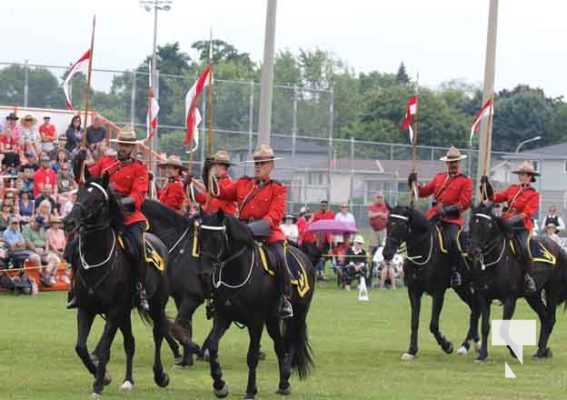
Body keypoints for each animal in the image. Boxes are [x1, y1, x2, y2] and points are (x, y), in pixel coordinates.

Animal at [62, 176, 182, 396]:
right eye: (79, 193)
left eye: (97, 199)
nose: (69, 222)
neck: (97, 260)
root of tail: (159, 243)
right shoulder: (86, 309)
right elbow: (81, 347)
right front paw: (102, 376)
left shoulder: (114, 310)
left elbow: (104, 348)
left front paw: (98, 384)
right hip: (126, 312)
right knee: (130, 343)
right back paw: (128, 381)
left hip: (156, 305)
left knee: (158, 333)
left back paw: (160, 376)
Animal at [143, 200, 205, 366]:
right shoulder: (180, 297)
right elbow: (183, 325)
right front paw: (187, 357)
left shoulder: (192, 297)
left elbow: (178, 323)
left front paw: (187, 353)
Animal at [199, 211, 316, 398]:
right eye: (200, 237)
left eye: (216, 238)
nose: (204, 274)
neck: (238, 271)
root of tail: (305, 257)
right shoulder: (223, 316)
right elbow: (213, 346)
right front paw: (219, 384)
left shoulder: (256, 322)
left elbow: (252, 356)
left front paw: (251, 390)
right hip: (273, 320)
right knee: (279, 346)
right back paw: (283, 382)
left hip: (298, 315)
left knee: (291, 341)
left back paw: (285, 375)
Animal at [382, 206, 480, 360]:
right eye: (387, 223)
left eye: (401, 225)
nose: (387, 253)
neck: (423, 251)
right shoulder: (413, 291)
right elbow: (414, 321)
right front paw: (411, 350)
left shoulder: (438, 292)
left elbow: (433, 324)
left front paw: (447, 345)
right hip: (462, 288)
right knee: (475, 309)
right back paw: (472, 344)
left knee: (476, 309)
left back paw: (467, 345)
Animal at [468, 202, 567, 360]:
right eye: (471, 223)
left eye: (487, 225)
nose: (473, 252)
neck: (494, 263)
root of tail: (558, 248)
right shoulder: (483, 297)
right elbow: (485, 326)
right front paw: (482, 355)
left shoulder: (510, 299)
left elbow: (503, 329)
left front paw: (515, 351)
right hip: (533, 295)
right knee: (544, 317)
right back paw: (541, 351)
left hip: (552, 292)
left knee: (550, 319)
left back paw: (541, 351)